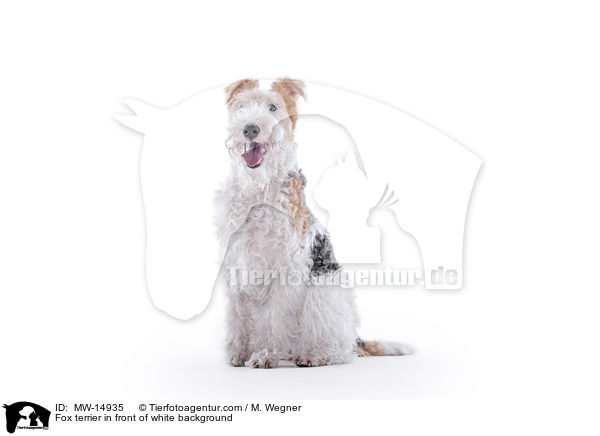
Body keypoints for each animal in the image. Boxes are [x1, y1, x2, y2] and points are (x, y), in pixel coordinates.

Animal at [213, 78, 410, 368]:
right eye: (241, 105)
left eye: (273, 107)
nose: (250, 128)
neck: (259, 189)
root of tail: (356, 338)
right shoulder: (235, 264)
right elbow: (237, 317)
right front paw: (237, 354)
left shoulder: (286, 269)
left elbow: (273, 320)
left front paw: (264, 355)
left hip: (323, 291)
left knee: (340, 349)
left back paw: (313, 355)